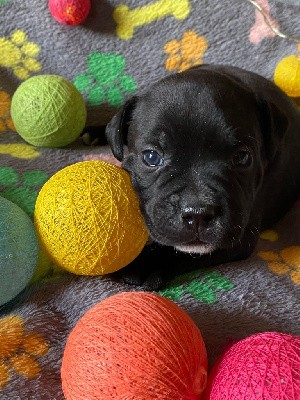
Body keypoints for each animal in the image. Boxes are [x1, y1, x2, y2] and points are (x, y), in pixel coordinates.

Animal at [91, 66, 300, 290]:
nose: (198, 213)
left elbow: (181, 252)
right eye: (151, 157)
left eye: (242, 158)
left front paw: (144, 263)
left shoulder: (243, 233)